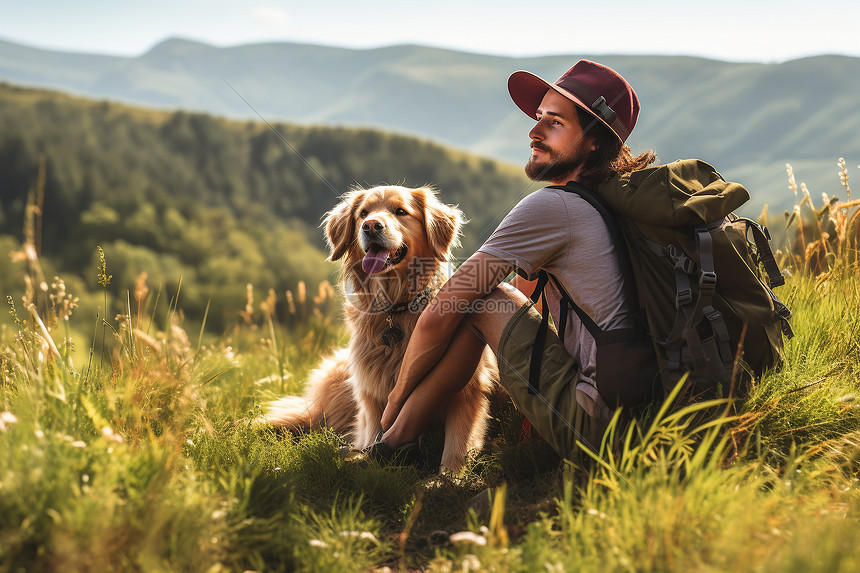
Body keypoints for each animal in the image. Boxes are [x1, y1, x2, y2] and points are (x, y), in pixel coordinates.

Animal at [268, 185, 498, 472]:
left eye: (400, 211)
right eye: (363, 213)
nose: (370, 226)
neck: (395, 307)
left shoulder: (468, 392)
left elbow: (457, 446)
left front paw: (450, 475)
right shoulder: (372, 395)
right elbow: (373, 433)